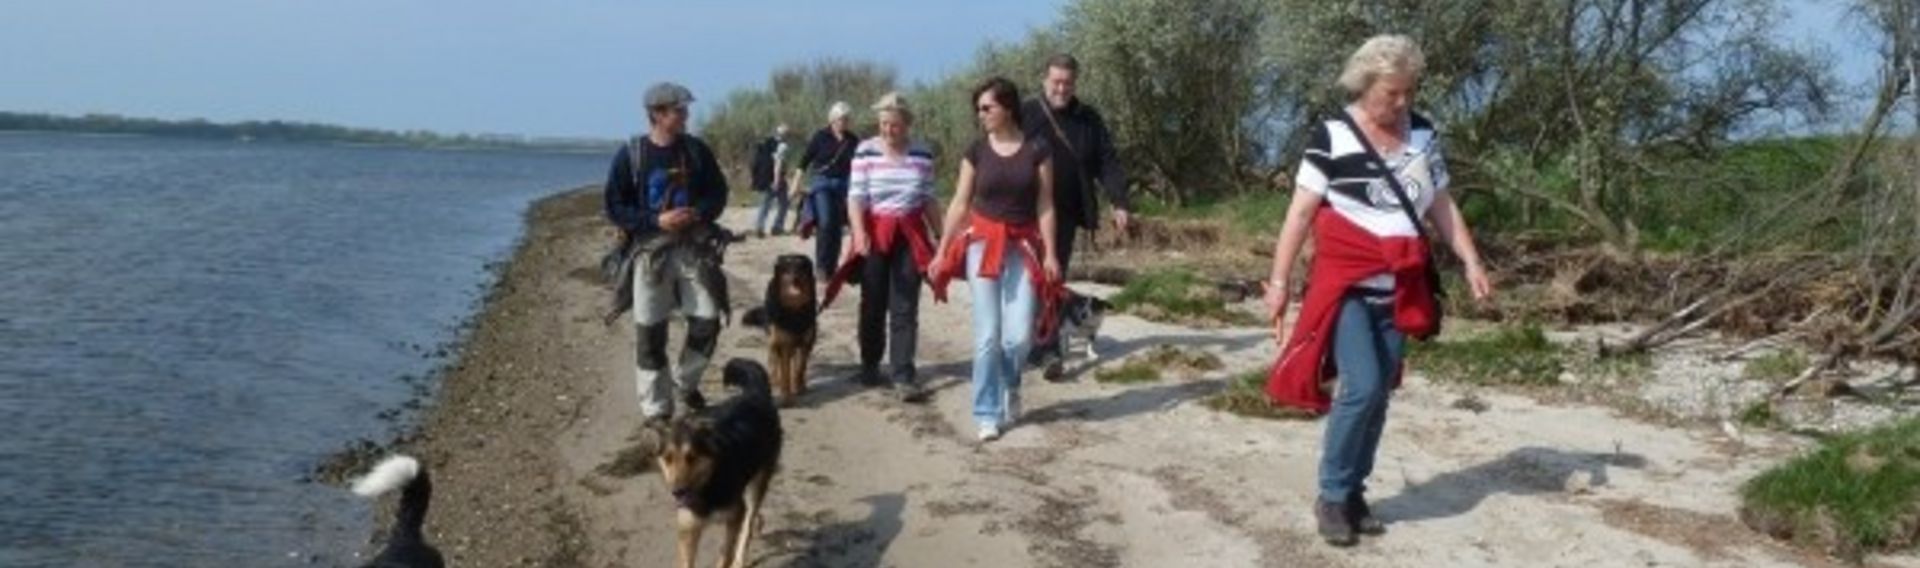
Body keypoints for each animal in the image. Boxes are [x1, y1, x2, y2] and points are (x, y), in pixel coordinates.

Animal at [652, 358, 787, 568]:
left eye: (692, 457)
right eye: (668, 458)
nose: (678, 492)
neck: (709, 484)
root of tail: (754, 395)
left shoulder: (734, 517)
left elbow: (726, 553)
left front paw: (732, 557)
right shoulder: (688, 529)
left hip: (759, 481)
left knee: (748, 520)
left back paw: (741, 556)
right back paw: (760, 523)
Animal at [737, 253, 814, 408]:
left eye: (801, 267)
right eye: (787, 268)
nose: (795, 278)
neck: (794, 310)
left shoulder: (807, 342)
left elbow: (800, 367)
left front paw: (799, 386)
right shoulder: (783, 343)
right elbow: (785, 373)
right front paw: (786, 398)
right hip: (774, 339)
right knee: (773, 357)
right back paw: (774, 378)